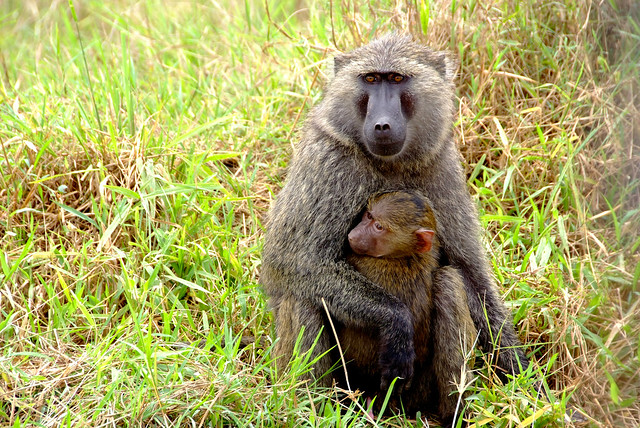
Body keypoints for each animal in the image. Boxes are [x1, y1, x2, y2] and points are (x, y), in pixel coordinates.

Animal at [262, 33, 527, 394]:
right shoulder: (327, 159)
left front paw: (525, 380)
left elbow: (470, 275)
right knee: (302, 291)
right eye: (371, 79)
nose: (382, 124)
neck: (390, 163)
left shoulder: (441, 163)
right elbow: (291, 259)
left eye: (398, 79)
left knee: (450, 282)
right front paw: (396, 322)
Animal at [337, 190, 477, 425]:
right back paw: (454, 415)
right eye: (368, 215)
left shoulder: (360, 260)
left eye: (379, 227)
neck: (404, 255)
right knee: (447, 279)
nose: (353, 236)